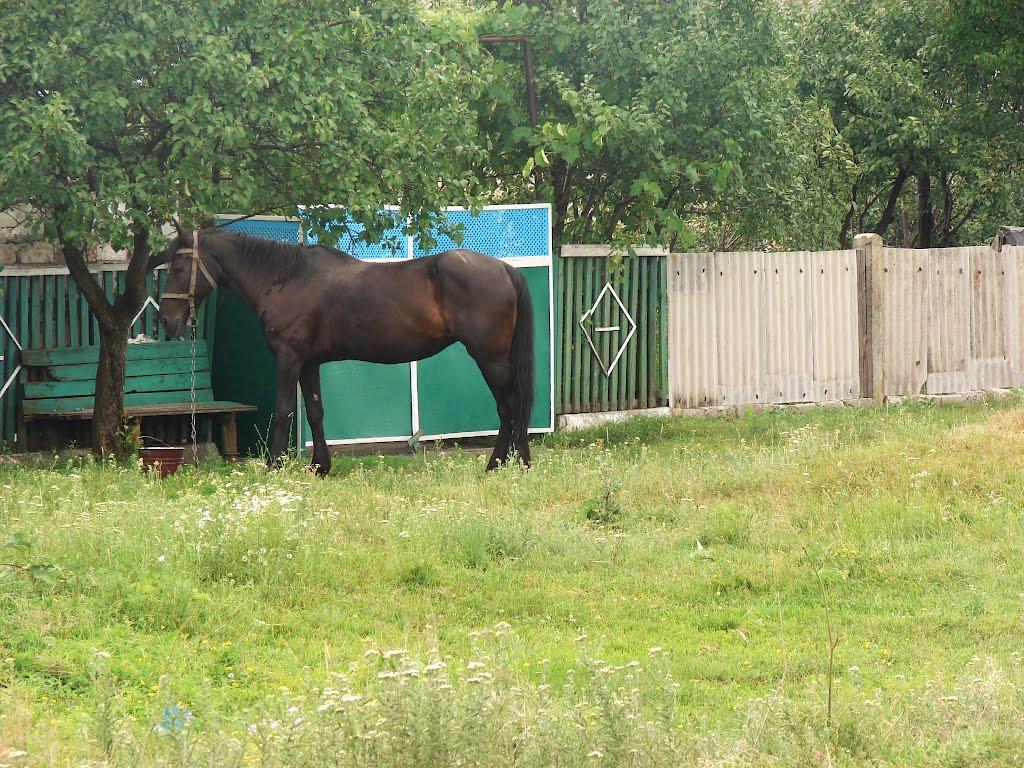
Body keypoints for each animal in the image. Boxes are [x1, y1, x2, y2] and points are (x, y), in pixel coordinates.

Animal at [153, 222, 536, 475]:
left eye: (178, 266)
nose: (166, 320)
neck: (287, 279)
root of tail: (502, 267)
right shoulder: (308, 363)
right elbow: (315, 411)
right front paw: (320, 466)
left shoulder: (289, 358)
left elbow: (283, 411)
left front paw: (275, 466)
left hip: (490, 358)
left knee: (510, 405)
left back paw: (506, 463)